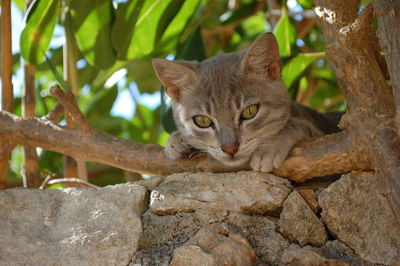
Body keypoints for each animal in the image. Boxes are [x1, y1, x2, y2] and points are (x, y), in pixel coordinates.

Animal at [152, 32, 342, 172]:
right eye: (202, 121)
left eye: (250, 112)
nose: (230, 148)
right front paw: (177, 140)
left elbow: (297, 125)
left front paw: (271, 146)